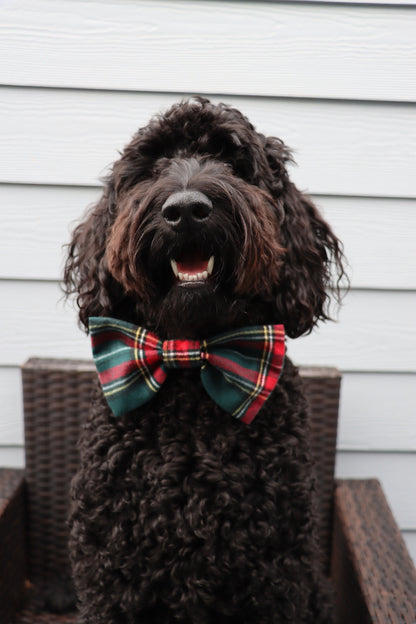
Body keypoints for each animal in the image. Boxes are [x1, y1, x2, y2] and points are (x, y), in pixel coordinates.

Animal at [64, 97, 344, 624]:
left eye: (233, 162)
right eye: (154, 165)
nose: (186, 211)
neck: (191, 361)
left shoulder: (276, 574)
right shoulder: (109, 571)